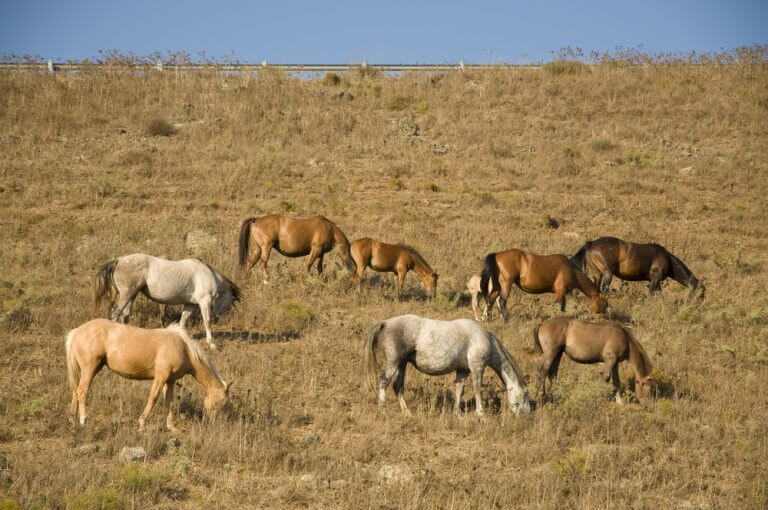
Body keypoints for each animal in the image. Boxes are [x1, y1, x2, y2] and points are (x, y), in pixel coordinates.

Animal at [65, 318, 231, 430]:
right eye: (221, 402)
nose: (215, 423)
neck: (184, 348)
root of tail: (76, 332)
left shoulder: (170, 381)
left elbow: (169, 402)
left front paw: (171, 427)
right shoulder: (160, 377)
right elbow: (153, 398)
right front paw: (142, 423)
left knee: (75, 391)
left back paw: (72, 421)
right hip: (89, 369)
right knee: (82, 391)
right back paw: (83, 420)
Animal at [95, 253, 242, 348]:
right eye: (228, 305)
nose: (217, 319)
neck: (207, 274)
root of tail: (119, 260)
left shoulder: (190, 304)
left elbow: (183, 321)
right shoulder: (204, 302)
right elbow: (206, 322)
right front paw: (211, 344)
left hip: (132, 296)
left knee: (125, 316)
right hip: (127, 294)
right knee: (115, 314)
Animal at [364, 312, 532, 416]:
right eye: (525, 394)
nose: (528, 415)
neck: (485, 339)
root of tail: (385, 323)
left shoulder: (462, 370)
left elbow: (459, 390)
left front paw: (457, 413)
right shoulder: (477, 367)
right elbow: (477, 389)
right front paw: (481, 414)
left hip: (402, 364)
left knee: (397, 386)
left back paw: (407, 412)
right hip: (394, 362)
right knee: (383, 381)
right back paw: (383, 409)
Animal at [476, 249, 608, 320]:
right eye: (605, 304)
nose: (605, 318)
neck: (570, 269)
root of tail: (497, 254)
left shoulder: (562, 293)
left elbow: (562, 307)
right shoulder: (560, 291)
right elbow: (556, 306)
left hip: (497, 286)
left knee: (491, 300)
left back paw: (487, 318)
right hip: (506, 284)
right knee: (502, 301)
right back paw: (506, 320)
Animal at [568, 236, 704, 296]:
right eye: (701, 293)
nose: (696, 306)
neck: (667, 258)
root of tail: (591, 244)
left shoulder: (656, 281)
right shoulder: (655, 278)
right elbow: (651, 294)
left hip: (597, 274)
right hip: (607, 273)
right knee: (604, 288)